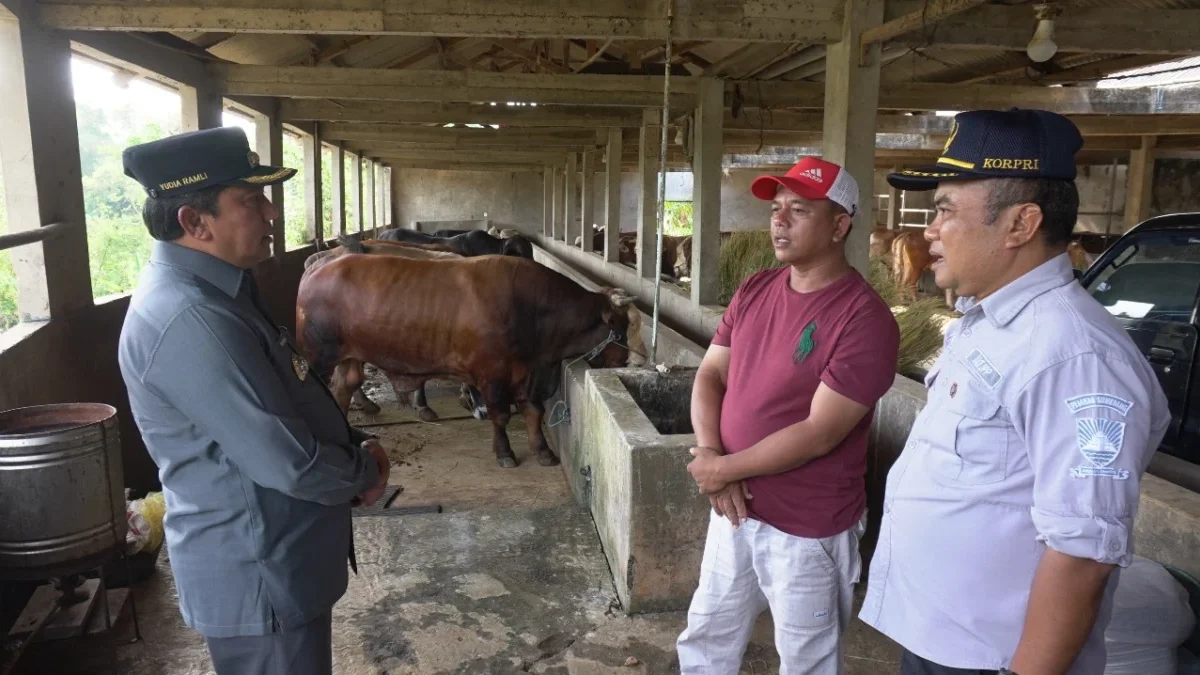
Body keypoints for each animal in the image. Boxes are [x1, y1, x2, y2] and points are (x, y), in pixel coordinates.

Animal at [297, 252, 648, 468]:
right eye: (620, 327)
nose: (639, 361)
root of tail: (322, 263)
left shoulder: (525, 374)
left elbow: (533, 411)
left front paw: (543, 451)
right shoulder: (492, 376)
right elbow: (501, 416)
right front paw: (504, 452)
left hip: (348, 358)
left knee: (343, 389)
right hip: (318, 358)